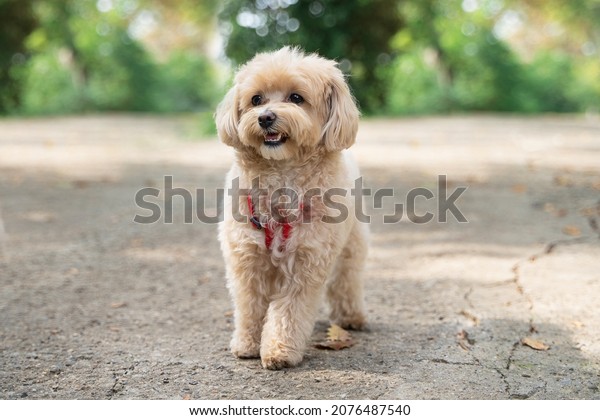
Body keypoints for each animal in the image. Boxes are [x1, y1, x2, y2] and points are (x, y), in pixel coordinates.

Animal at [213, 46, 368, 370]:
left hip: (352, 244)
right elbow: (249, 305)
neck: (282, 177)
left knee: (347, 280)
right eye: (256, 99)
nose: (265, 117)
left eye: (296, 97)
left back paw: (352, 317)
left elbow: (289, 311)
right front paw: (247, 343)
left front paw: (279, 350)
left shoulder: (306, 262)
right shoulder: (246, 259)